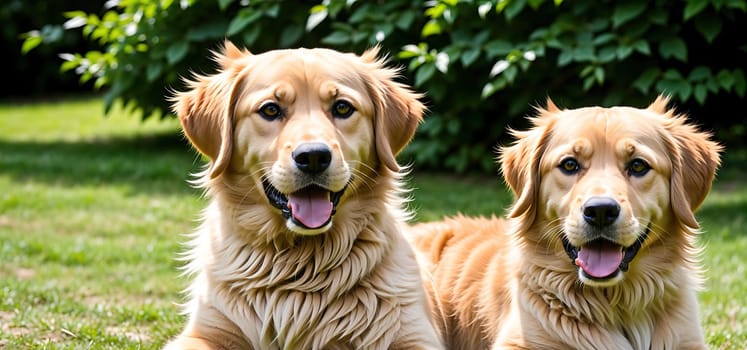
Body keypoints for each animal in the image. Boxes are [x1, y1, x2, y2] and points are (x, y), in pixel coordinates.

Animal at [165, 41, 444, 350]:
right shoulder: (202, 332)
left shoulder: (415, 337)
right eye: (270, 110)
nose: (313, 157)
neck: (302, 260)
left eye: (343, 107)